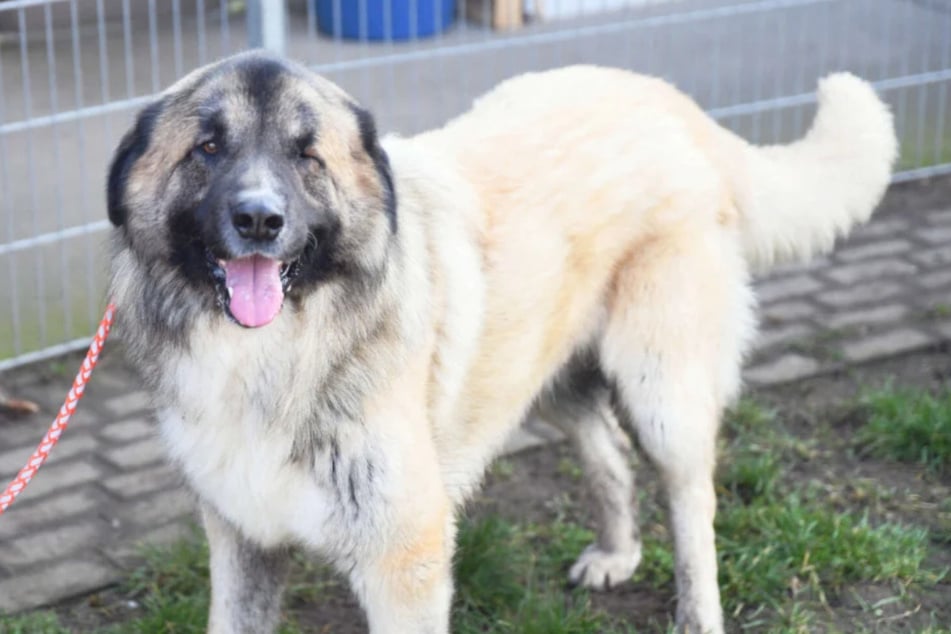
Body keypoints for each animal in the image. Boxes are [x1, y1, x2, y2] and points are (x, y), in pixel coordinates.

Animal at [108, 51, 896, 628]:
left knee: (692, 502)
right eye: (208, 147)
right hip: (547, 373)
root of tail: (669, 100)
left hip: (660, 391)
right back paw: (617, 555)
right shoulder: (243, 542)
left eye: (308, 156)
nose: (259, 220)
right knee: (608, 455)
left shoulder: (406, 563)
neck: (272, 357)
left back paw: (697, 614)